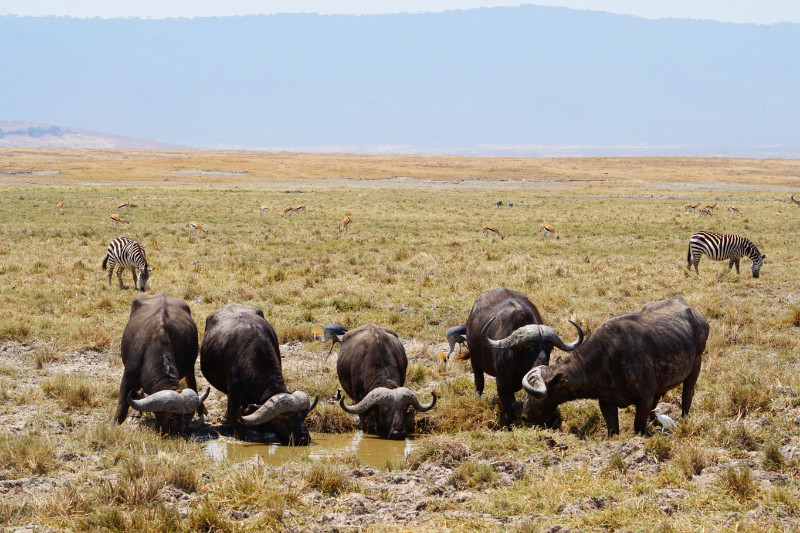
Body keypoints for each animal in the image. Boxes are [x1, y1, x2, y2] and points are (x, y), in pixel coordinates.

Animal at [115, 292, 208, 432]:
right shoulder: (127, 378)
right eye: (171, 417)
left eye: (188, 416)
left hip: (190, 368)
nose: (181, 432)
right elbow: (121, 407)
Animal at [466, 287, 583, 427]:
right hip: (475, 361)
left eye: (549, 347)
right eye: (529, 347)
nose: (542, 364)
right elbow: (506, 407)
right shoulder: (502, 383)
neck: (517, 364)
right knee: (479, 382)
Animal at [509, 296, 709, 435]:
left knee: (687, 395)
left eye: (534, 396)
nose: (524, 416)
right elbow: (613, 429)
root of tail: (698, 316)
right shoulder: (606, 402)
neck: (608, 358)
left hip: (696, 365)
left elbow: (638, 426)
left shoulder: (643, 398)